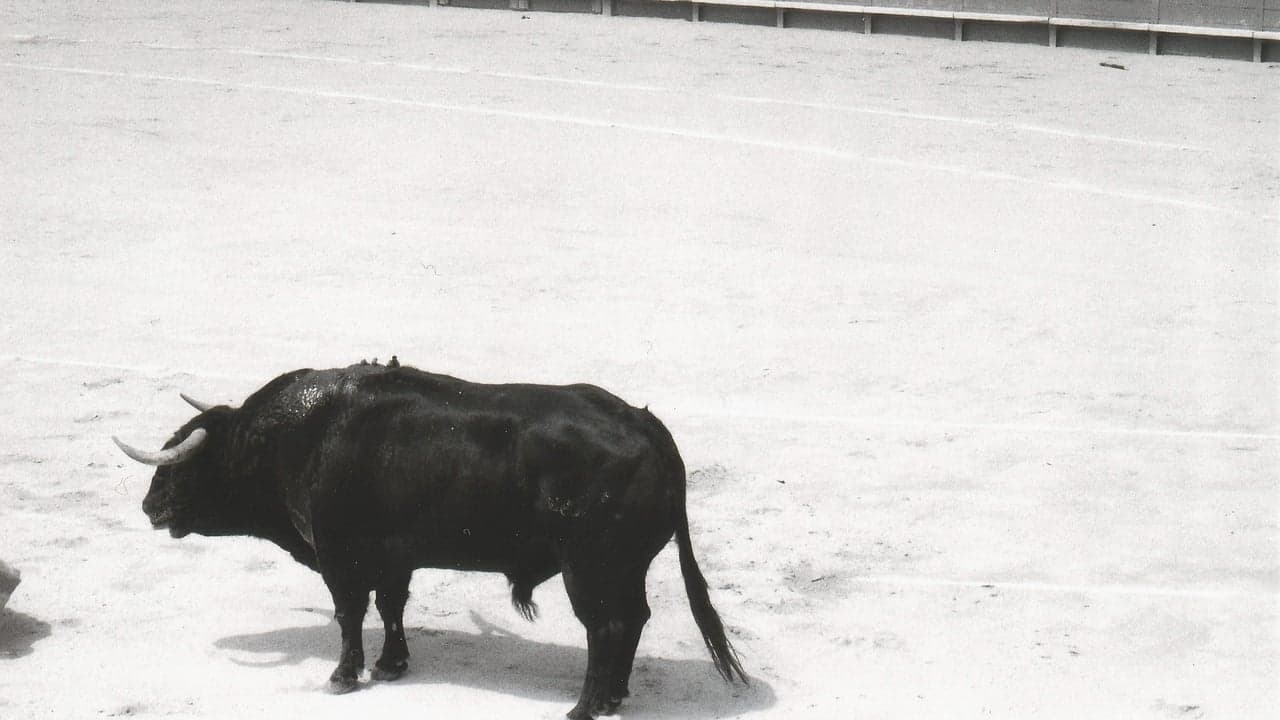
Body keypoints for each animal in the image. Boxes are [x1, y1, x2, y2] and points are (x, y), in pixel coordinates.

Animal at [115, 363, 747, 717]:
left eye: (185, 465)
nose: (148, 506)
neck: (304, 438)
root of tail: (647, 425)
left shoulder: (341, 556)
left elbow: (350, 613)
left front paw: (343, 677)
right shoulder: (393, 558)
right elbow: (391, 607)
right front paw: (392, 665)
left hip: (589, 566)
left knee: (606, 626)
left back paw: (585, 706)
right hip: (625, 566)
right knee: (633, 619)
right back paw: (615, 697)